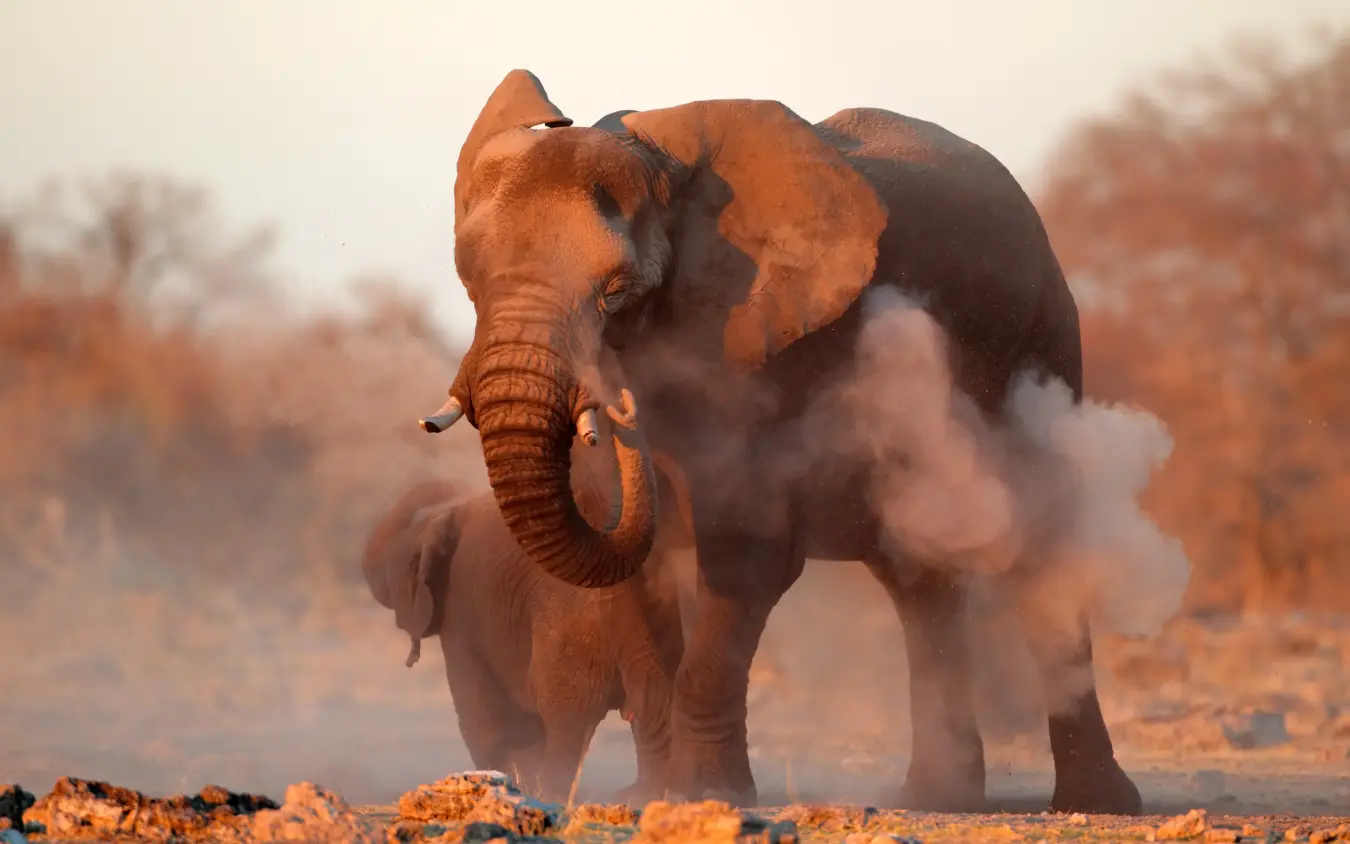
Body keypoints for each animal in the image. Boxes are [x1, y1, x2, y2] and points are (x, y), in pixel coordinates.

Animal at [364, 392, 691, 803]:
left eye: (391, 570)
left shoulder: (461, 617)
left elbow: (483, 717)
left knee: (566, 722)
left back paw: (558, 795)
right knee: (652, 705)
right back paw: (643, 797)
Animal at [415, 69, 1143, 815]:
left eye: (616, 292)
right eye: (470, 280)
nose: (620, 408)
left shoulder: (771, 349)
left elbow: (746, 556)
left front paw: (708, 794)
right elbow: (633, 574)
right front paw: (650, 794)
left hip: (1044, 341)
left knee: (1043, 554)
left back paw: (1096, 804)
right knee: (918, 579)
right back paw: (938, 797)